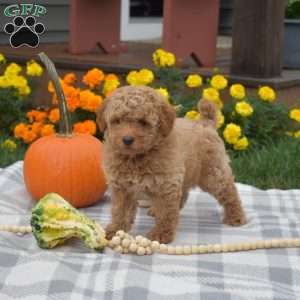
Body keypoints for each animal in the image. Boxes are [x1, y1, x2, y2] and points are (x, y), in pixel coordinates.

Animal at [96, 85, 246, 244]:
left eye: (143, 122)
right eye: (117, 121)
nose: (127, 140)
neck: (136, 157)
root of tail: (205, 122)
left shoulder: (165, 185)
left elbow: (166, 212)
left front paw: (161, 234)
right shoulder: (122, 188)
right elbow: (120, 211)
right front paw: (115, 229)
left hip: (212, 172)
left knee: (228, 191)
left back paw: (236, 217)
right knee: (183, 192)